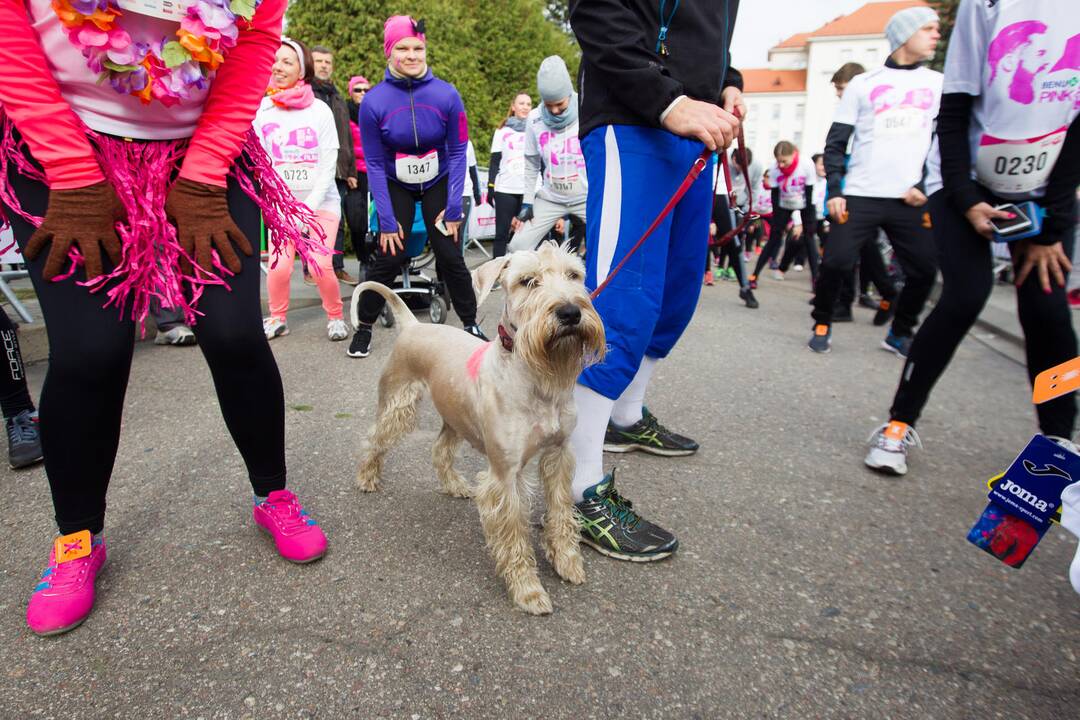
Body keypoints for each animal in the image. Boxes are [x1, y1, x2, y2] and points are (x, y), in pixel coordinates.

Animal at [354, 241, 609, 613]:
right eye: (528, 281)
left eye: (574, 275)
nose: (569, 313)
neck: (534, 377)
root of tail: (413, 324)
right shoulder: (505, 476)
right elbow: (514, 537)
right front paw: (527, 590)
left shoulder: (558, 456)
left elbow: (561, 512)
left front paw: (566, 561)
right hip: (397, 406)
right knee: (375, 439)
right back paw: (367, 477)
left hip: (454, 418)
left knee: (440, 450)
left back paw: (455, 485)